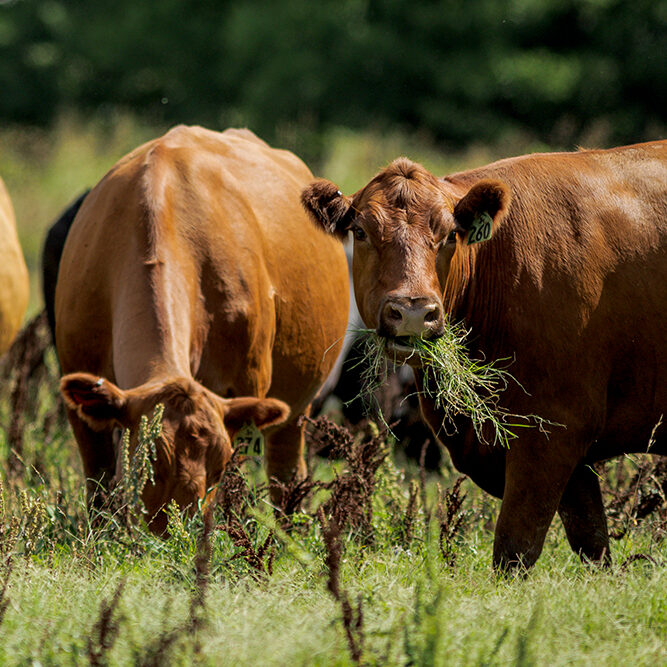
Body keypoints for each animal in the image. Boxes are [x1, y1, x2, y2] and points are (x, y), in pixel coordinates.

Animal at [55, 125, 349, 533]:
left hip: (298, 406)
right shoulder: (78, 387)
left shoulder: (244, 389)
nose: (178, 537)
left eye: (219, 467)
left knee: (286, 474)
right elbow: (98, 490)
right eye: (147, 464)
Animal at [302, 140, 667, 571]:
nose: (413, 311)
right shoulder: (572, 461)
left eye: (450, 235)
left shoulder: (551, 433)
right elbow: (593, 545)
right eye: (360, 231)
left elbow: (515, 548)